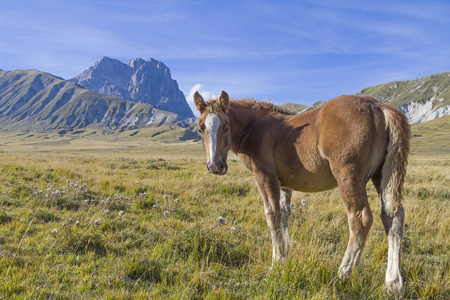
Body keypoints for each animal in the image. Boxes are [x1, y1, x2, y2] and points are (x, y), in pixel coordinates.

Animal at [193, 89, 412, 296]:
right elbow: (284, 215)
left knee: (360, 219)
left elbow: (272, 216)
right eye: (200, 129)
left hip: (349, 178)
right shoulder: (284, 185)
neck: (257, 128)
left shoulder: (264, 177)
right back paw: (393, 283)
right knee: (392, 217)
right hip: (381, 175)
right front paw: (285, 255)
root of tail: (379, 107)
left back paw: (344, 273)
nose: (215, 166)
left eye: (226, 127)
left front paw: (276, 263)